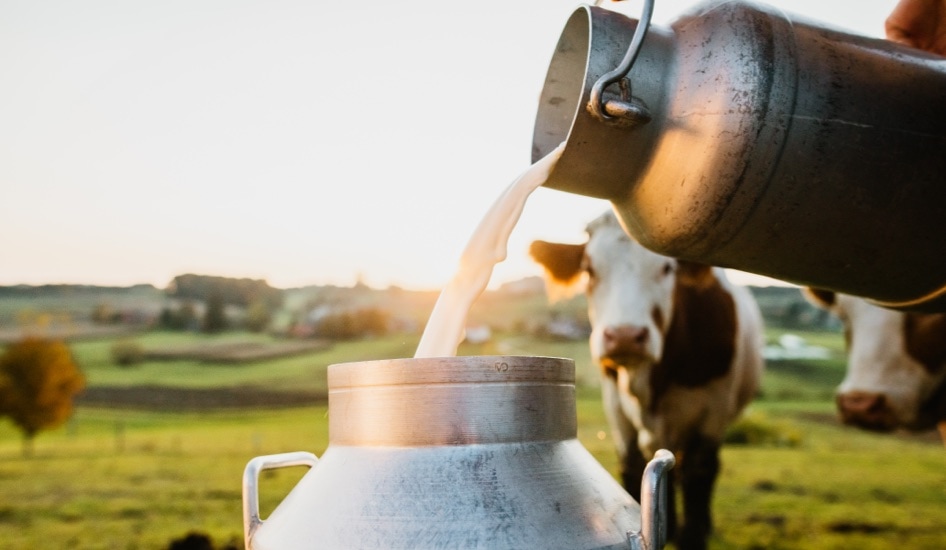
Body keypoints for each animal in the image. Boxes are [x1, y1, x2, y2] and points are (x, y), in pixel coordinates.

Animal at [528, 212, 764, 550]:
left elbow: (698, 475)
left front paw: (693, 533)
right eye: (589, 269)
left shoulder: (713, 411)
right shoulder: (616, 410)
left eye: (666, 269)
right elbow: (632, 469)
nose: (625, 336)